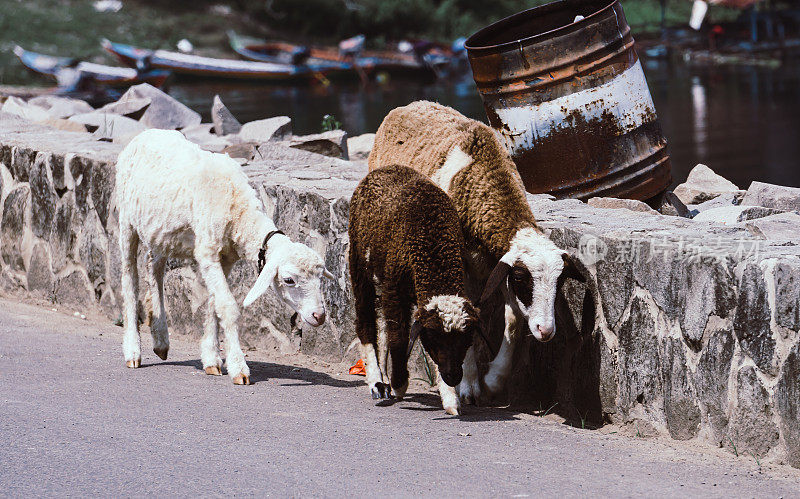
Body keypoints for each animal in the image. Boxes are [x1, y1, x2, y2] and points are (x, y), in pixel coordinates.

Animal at [115, 130, 332, 386]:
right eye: (289, 280)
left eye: (320, 279)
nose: (319, 316)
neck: (238, 210)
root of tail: (144, 134)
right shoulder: (207, 251)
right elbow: (227, 306)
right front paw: (238, 367)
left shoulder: (225, 258)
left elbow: (213, 304)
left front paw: (211, 359)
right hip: (126, 222)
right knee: (129, 278)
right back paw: (132, 350)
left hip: (160, 232)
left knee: (154, 269)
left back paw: (161, 341)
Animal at [350, 165, 482, 418]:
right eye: (434, 340)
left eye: (465, 341)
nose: (453, 377)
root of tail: (383, 169)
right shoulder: (393, 289)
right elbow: (399, 337)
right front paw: (400, 383)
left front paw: (450, 399)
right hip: (358, 261)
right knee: (366, 320)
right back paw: (376, 382)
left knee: (381, 323)